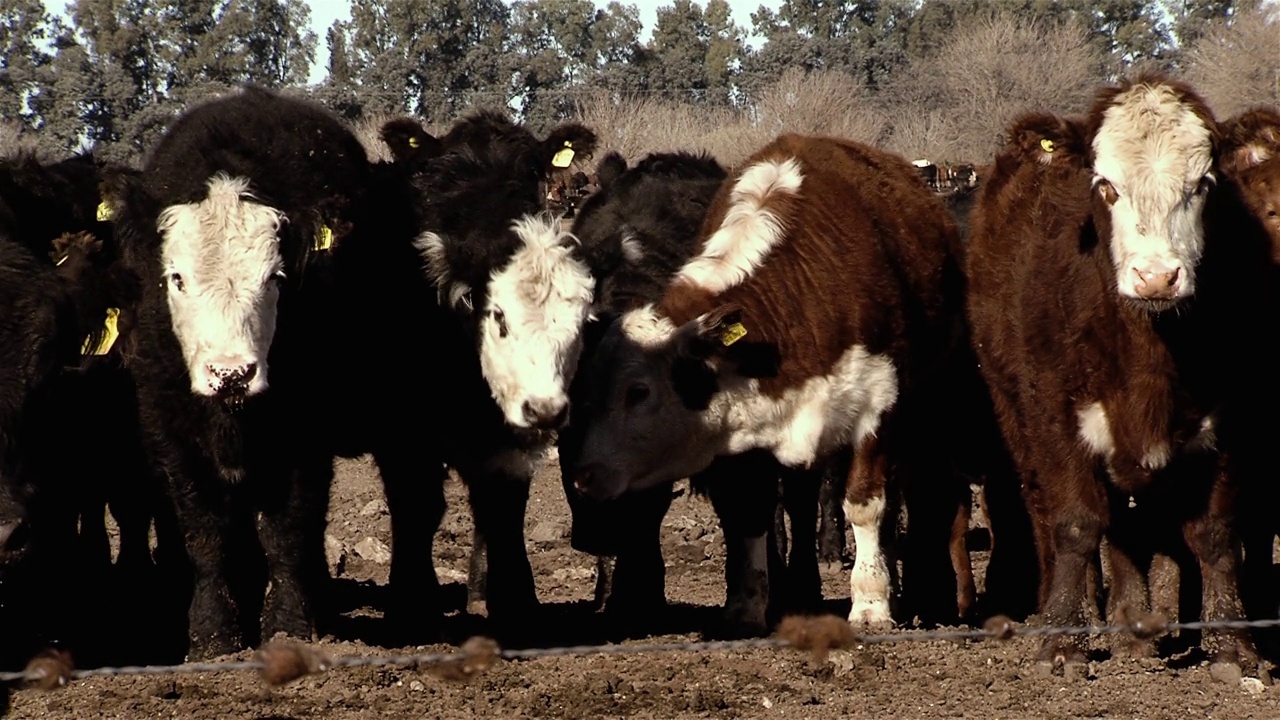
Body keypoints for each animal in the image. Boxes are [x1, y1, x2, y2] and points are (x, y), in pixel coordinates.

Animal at [101, 83, 373, 655]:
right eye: (176, 278)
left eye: (275, 277)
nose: (232, 373)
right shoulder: (169, 427)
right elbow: (204, 530)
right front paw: (212, 633)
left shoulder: (305, 432)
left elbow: (287, 528)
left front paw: (289, 624)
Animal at [560, 131, 967, 635]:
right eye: (579, 397)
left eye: (639, 391)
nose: (586, 475)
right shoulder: (741, 427)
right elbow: (750, 511)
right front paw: (745, 607)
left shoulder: (877, 411)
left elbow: (864, 503)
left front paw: (871, 602)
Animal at [962, 75, 1274, 676]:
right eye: (1106, 186)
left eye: (1203, 185)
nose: (1156, 277)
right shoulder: (1054, 412)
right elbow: (1077, 523)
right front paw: (1063, 643)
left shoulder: (1233, 413)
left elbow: (1214, 533)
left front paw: (1233, 645)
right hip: (1014, 414)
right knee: (1049, 520)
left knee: (1131, 529)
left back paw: (1135, 632)